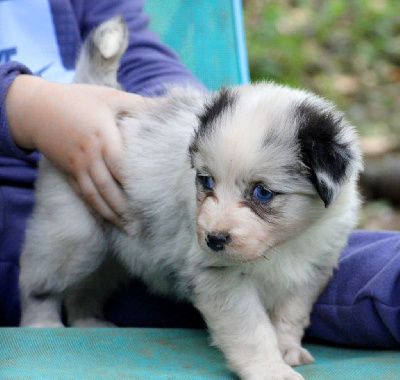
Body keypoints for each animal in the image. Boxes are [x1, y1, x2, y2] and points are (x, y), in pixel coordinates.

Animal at [19, 16, 362, 380]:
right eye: (206, 180)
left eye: (262, 192)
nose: (213, 239)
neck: (281, 245)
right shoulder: (223, 277)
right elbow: (252, 330)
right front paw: (271, 369)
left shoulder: (310, 272)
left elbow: (289, 316)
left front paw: (287, 351)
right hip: (73, 237)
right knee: (38, 282)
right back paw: (41, 325)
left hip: (110, 251)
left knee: (85, 289)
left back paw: (89, 323)